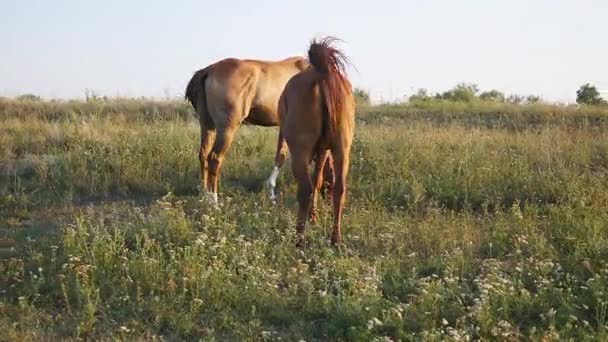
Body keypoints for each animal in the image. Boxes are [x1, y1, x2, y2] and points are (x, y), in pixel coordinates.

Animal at [185, 57, 316, 204]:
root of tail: (208, 70)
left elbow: (280, 156)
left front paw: (272, 196)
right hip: (227, 129)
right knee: (214, 158)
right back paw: (214, 202)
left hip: (207, 126)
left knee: (203, 155)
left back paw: (205, 196)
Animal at [276, 38, 356, 246]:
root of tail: (322, 73)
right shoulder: (323, 151)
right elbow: (318, 180)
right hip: (342, 150)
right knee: (339, 189)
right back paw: (335, 239)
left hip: (300, 152)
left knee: (305, 189)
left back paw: (299, 239)